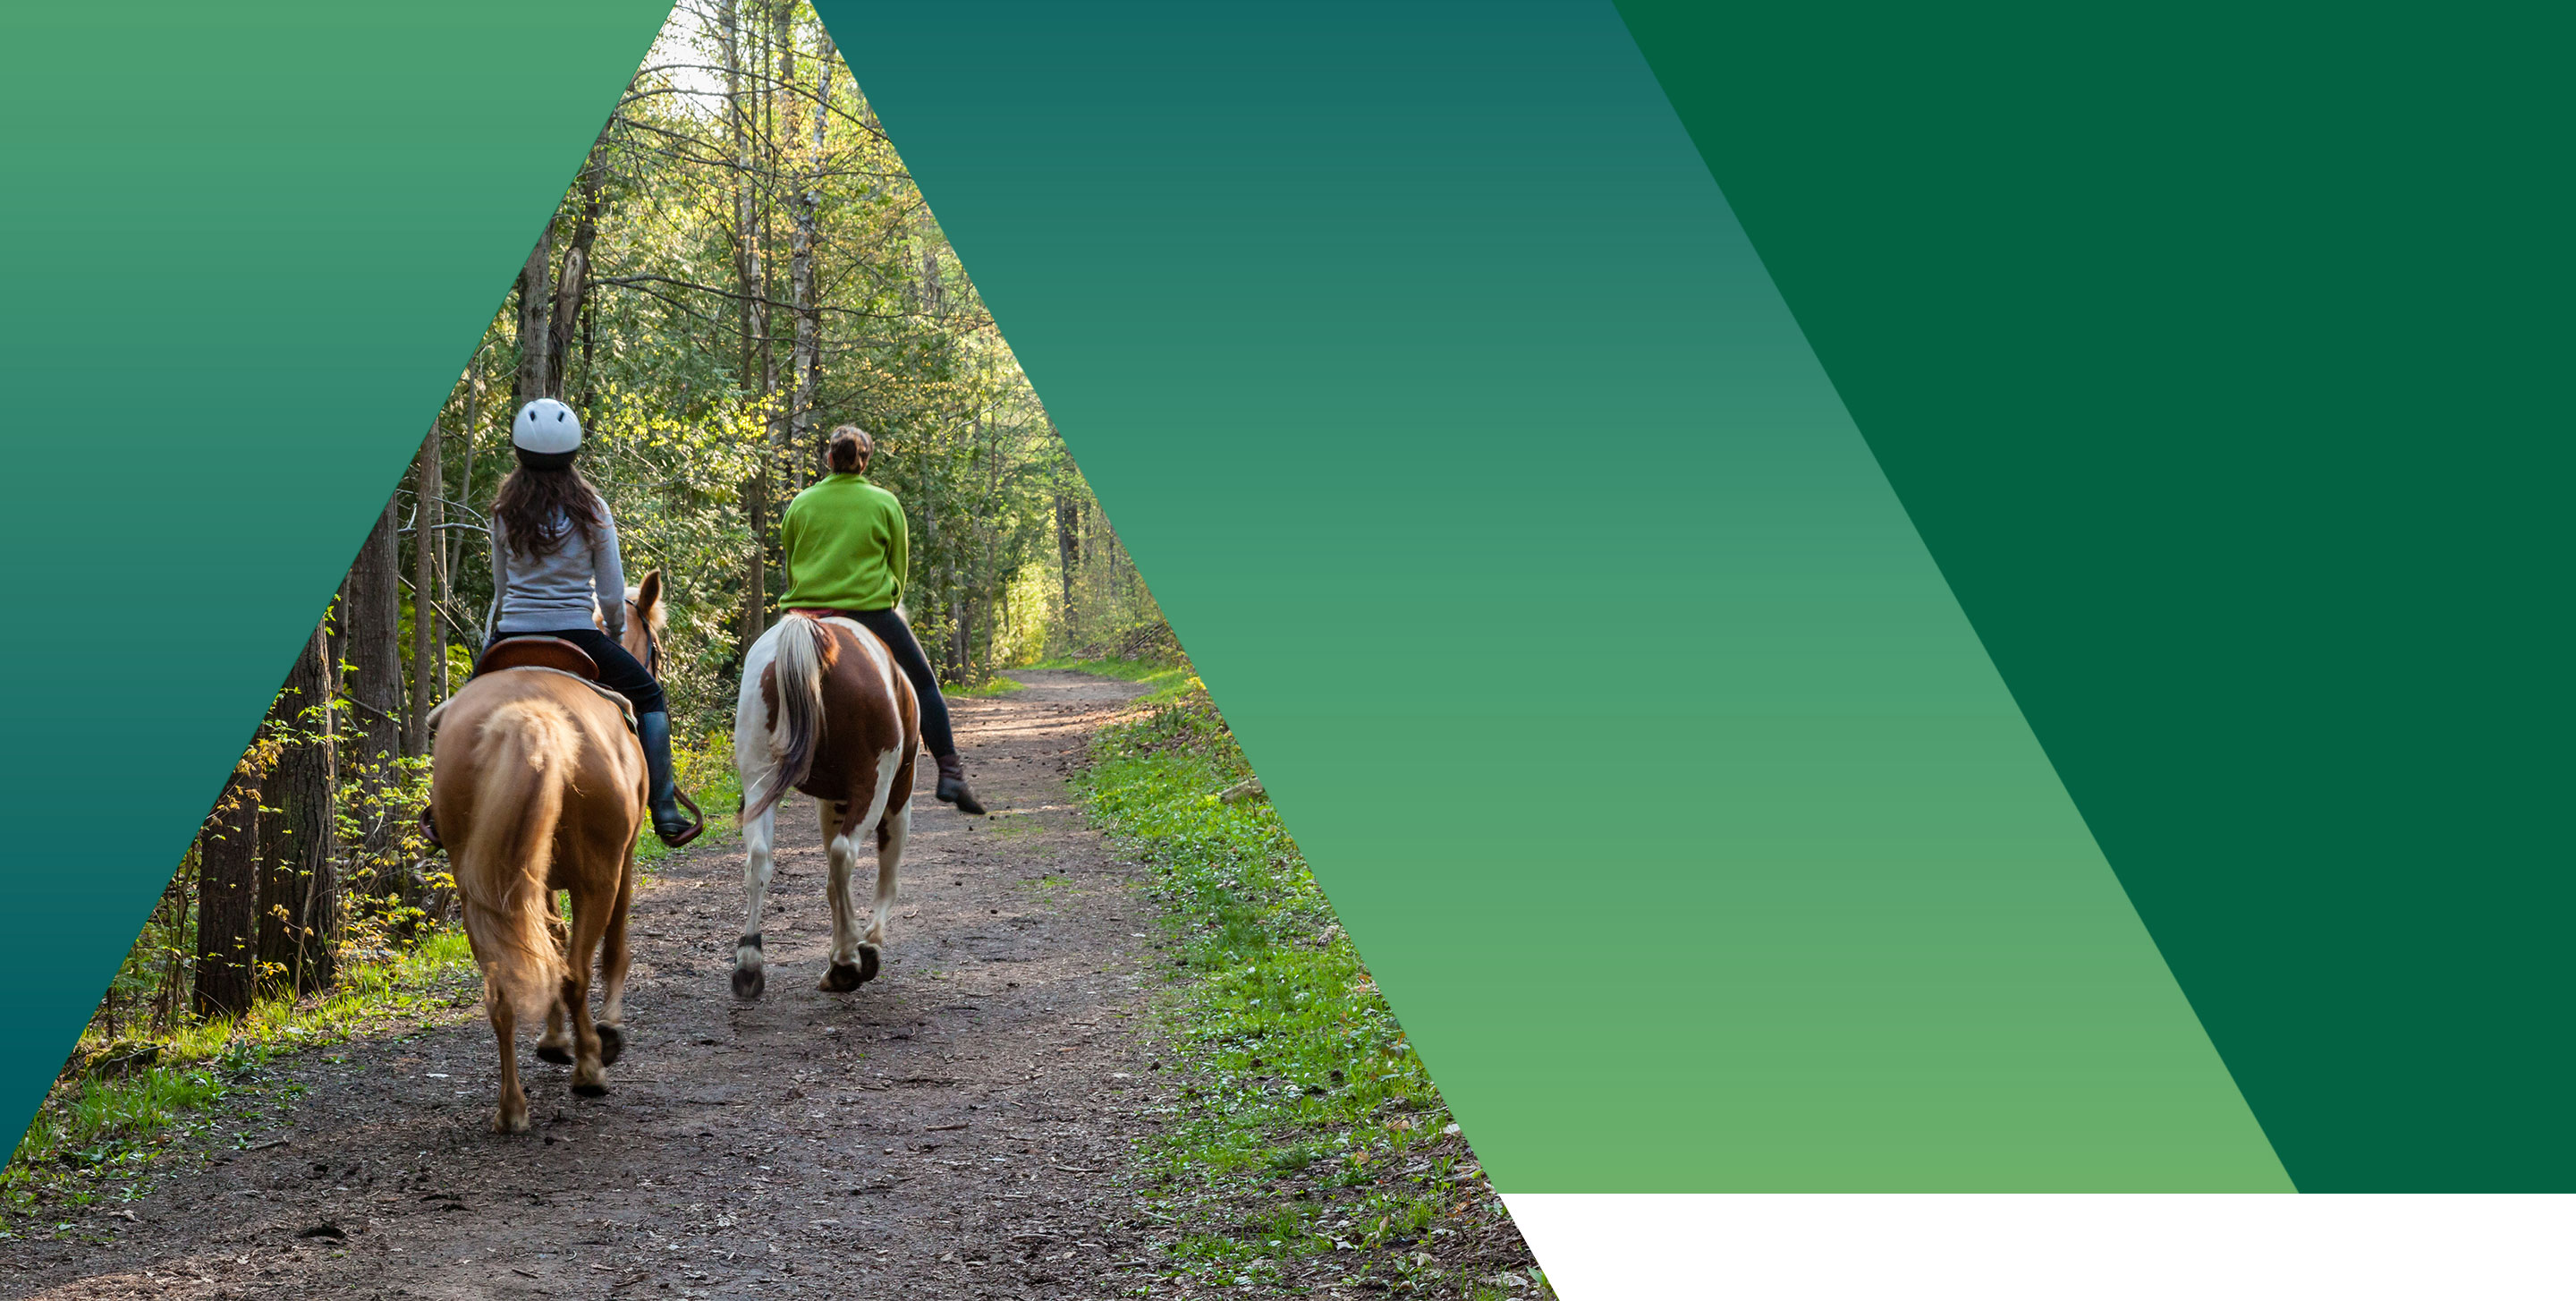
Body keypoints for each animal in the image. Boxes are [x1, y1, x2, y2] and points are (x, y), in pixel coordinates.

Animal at [731, 608, 922, 994]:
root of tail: (811, 634)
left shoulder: (832, 803)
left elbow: (833, 885)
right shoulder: (898, 795)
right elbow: (886, 876)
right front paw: (868, 946)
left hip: (760, 781)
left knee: (760, 858)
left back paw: (749, 963)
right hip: (873, 785)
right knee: (844, 853)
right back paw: (849, 961)